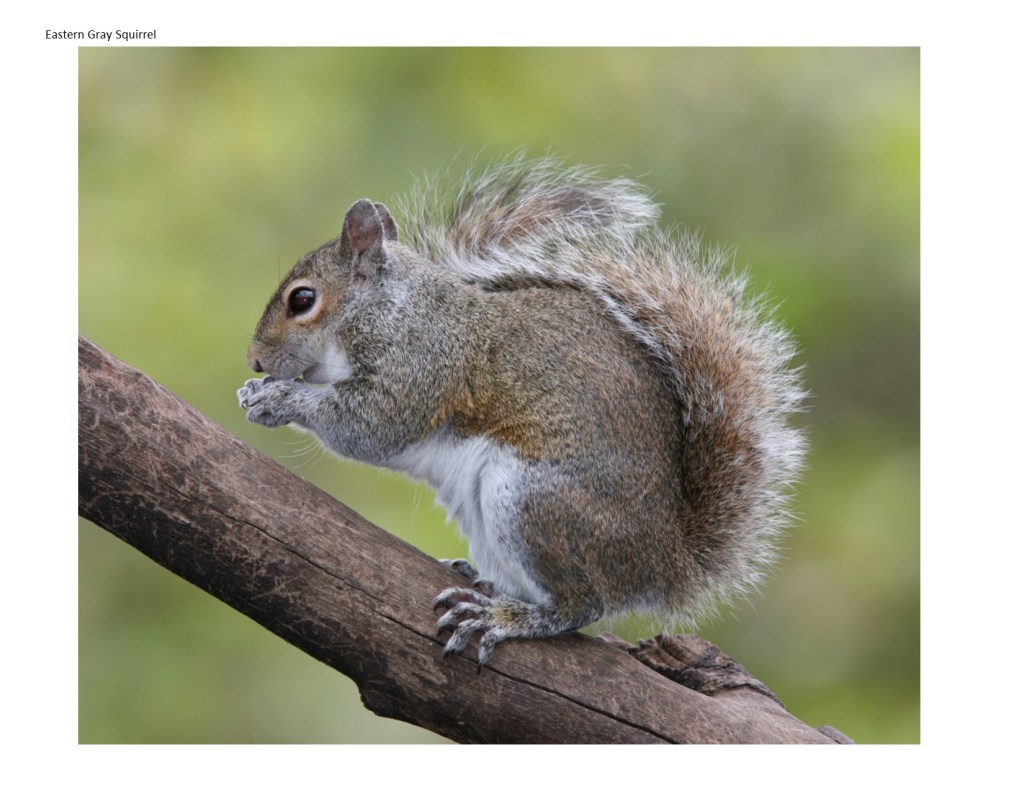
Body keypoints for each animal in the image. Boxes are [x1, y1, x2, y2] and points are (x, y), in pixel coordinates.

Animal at [237, 156, 806, 665]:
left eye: (302, 300)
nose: (255, 359)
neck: (389, 308)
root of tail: (666, 564)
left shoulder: (420, 365)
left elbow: (370, 425)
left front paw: (276, 398)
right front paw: (255, 391)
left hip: (533, 501)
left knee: (581, 605)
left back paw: (505, 617)